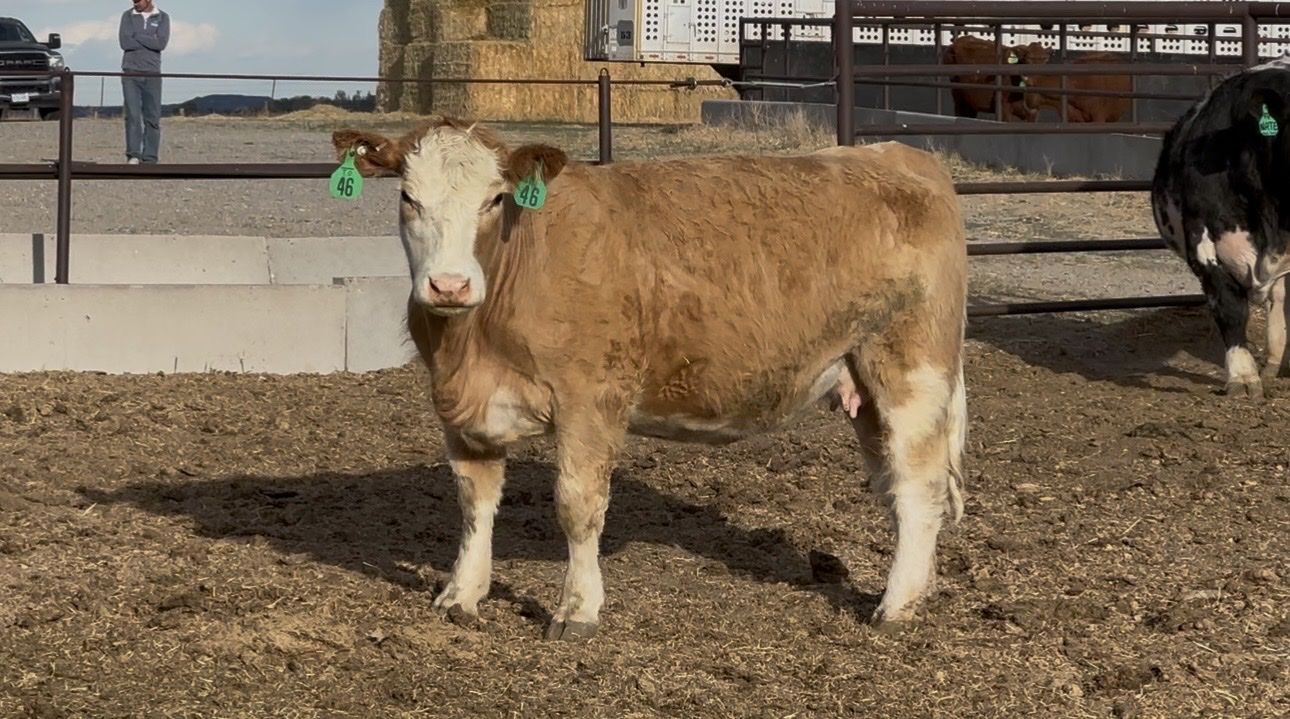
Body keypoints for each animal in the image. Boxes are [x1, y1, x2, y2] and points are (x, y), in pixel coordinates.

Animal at [330, 117, 969, 640]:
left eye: (494, 198)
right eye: (408, 197)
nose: (449, 285)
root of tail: (899, 156)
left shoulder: (591, 402)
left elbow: (578, 505)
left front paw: (578, 610)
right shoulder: (462, 410)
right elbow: (473, 501)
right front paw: (461, 594)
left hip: (912, 369)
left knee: (919, 486)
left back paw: (894, 607)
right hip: (864, 381)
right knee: (895, 487)